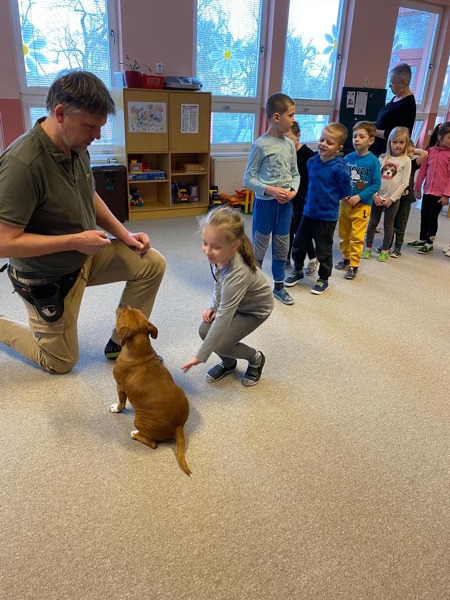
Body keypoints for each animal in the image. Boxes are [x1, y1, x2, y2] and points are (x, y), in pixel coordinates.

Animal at [110, 306, 191, 476]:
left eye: (121, 314)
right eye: (134, 309)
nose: (123, 305)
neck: (139, 348)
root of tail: (178, 426)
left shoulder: (120, 386)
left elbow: (121, 402)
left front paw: (116, 408)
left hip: (139, 420)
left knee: (153, 443)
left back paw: (135, 434)